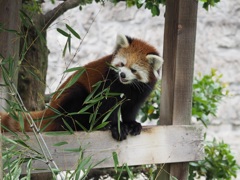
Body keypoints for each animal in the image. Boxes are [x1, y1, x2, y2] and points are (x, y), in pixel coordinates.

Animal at [0, 34, 163, 141]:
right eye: (122, 64)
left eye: (133, 70)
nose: (122, 74)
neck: (127, 86)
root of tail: (50, 110)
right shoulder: (107, 84)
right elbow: (108, 106)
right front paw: (116, 126)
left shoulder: (141, 90)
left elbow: (131, 108)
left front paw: (131, 124)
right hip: (70, 100)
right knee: (76, 97)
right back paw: (85, 125)